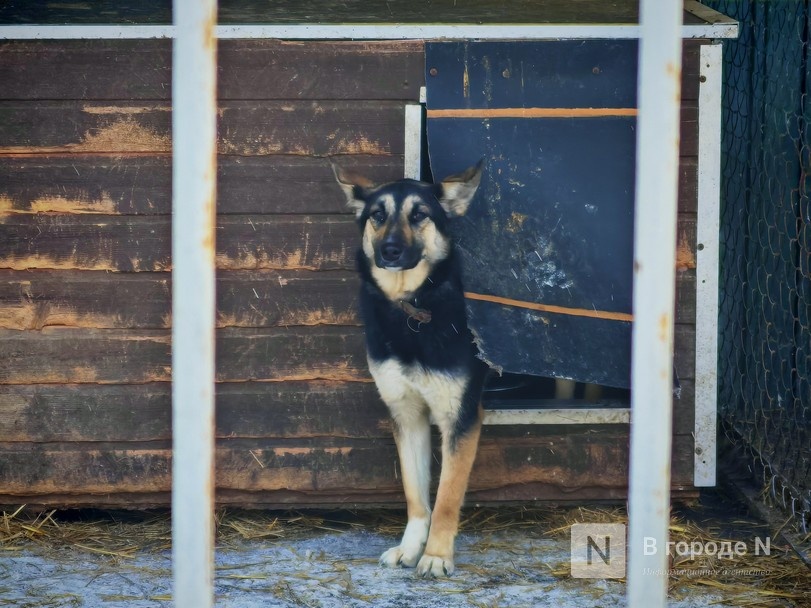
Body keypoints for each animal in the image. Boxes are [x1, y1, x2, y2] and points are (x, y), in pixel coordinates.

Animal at [336, 163, 488, 580]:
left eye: (419, 215)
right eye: (377, 215)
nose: (389, 250)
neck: (411, 305)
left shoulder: (460, 417)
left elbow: (447, 496)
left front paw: (435, 555)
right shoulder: (407, 413)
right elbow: (415, 494)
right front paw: (410, 548)